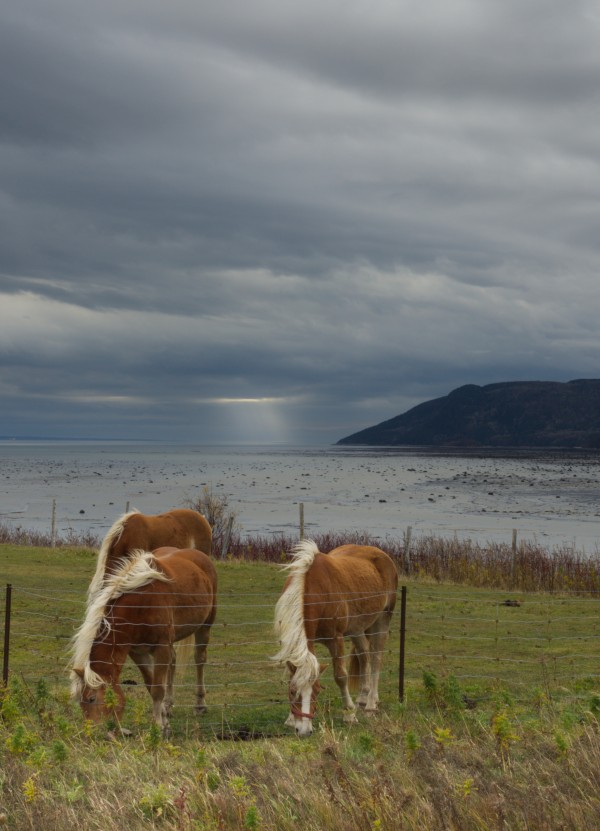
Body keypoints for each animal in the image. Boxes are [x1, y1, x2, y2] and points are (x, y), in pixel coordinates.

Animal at [70, 546, 217, 735]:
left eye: (91, 699)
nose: (92, 732)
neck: (140, 605)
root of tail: (198, 554)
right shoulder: (137, 652)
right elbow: (151, 684)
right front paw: (164, 720)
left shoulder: (161, 647)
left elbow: (157, 689)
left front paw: (158, 725)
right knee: (173, 663)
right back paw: (169, 705)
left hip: (205, 626)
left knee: (200, 659)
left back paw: (200, 704)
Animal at [273, 539, 398, 737]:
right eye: (293, 692)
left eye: (317, 692)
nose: (304, 731)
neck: (315, 590)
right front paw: (291, 719)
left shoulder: (336, 639)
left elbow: (341, 676)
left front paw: (349, 715)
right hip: (357, 629)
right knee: (364, 655)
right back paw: (363, 698)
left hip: (382, 620)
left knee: (376, 658)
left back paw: (371, 704)